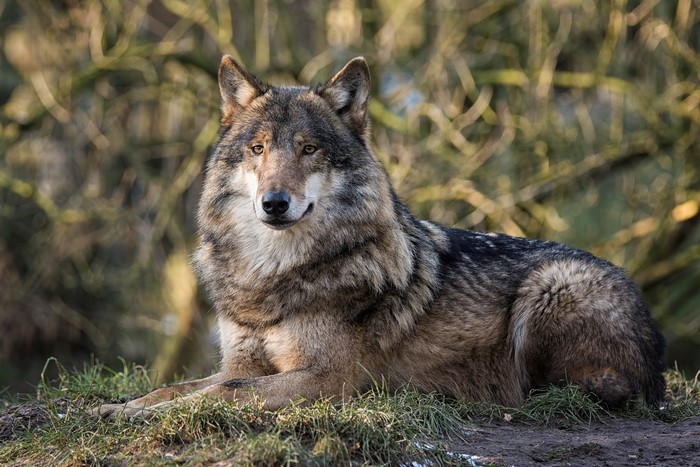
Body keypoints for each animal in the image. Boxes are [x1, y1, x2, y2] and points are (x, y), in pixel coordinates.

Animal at [95, 56, 665, 417]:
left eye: (308, 149)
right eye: (258, 149)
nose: (274, 203)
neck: (273, 275)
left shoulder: (329, 379)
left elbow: (228, 392)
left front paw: (145, 416)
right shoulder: (239, 360)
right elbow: (181, 384)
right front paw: (118, 407)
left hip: (551, 287)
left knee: (589, 390)